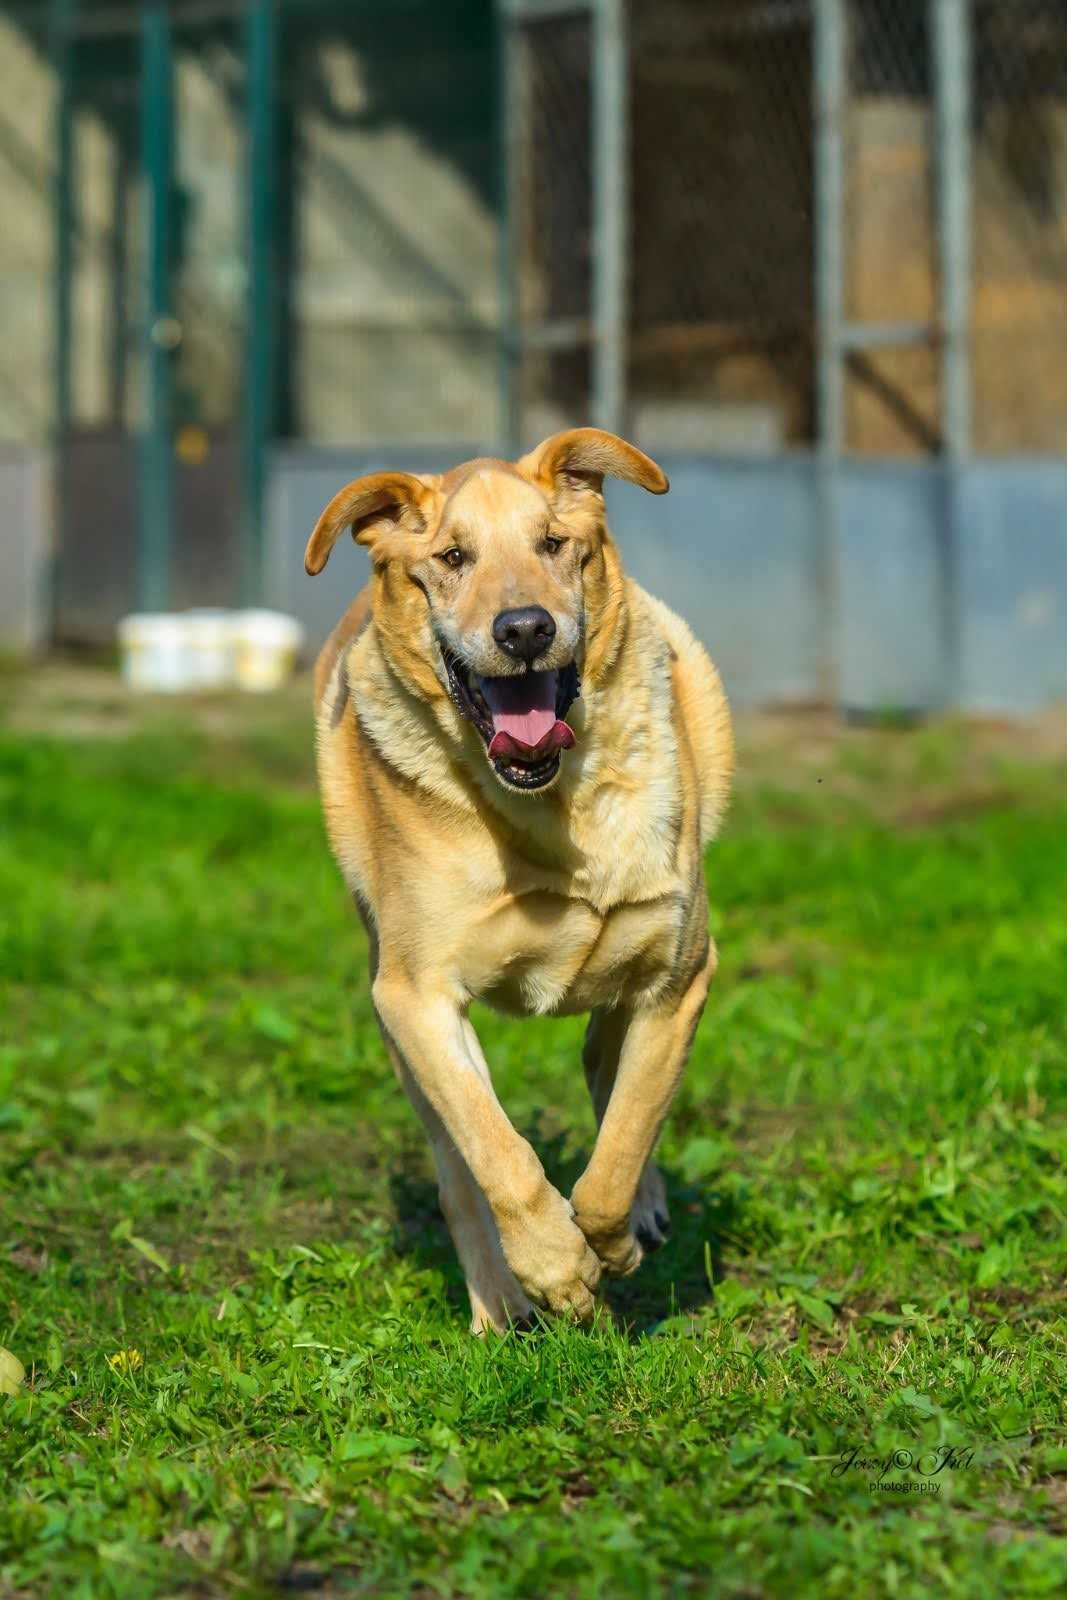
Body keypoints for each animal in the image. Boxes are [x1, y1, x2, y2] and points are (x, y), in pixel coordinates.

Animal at [307, 428, 735, 1337]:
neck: (546, 808)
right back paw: (497, 1306)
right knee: (460, 1168)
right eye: (451, 558)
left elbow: (623, 1138)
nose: (527, 628)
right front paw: (556, 1269)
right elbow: (494, 1149)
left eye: (553, 544)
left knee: (608, 1069)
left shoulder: (679, 975)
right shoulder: (414, 997)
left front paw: (609, 1239)